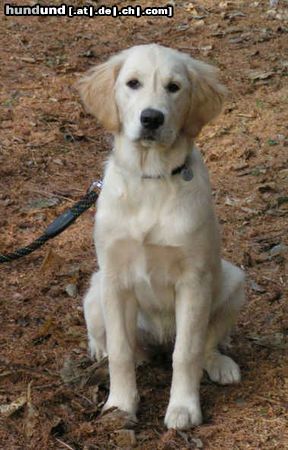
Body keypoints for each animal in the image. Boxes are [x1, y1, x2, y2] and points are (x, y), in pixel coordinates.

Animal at [78, 44, 245, 428]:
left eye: (174, 87)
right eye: (133, 83)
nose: (151, 118)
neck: (151, 178)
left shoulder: (194, 282)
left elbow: (187, 352)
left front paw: (184, 408)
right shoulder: (115, 279)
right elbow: (121, 352)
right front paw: (120, 405)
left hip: (233, 280)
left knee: (205, 342)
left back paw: (220, 364)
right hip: (95, 290)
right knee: (113, 339)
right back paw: (100, 348)